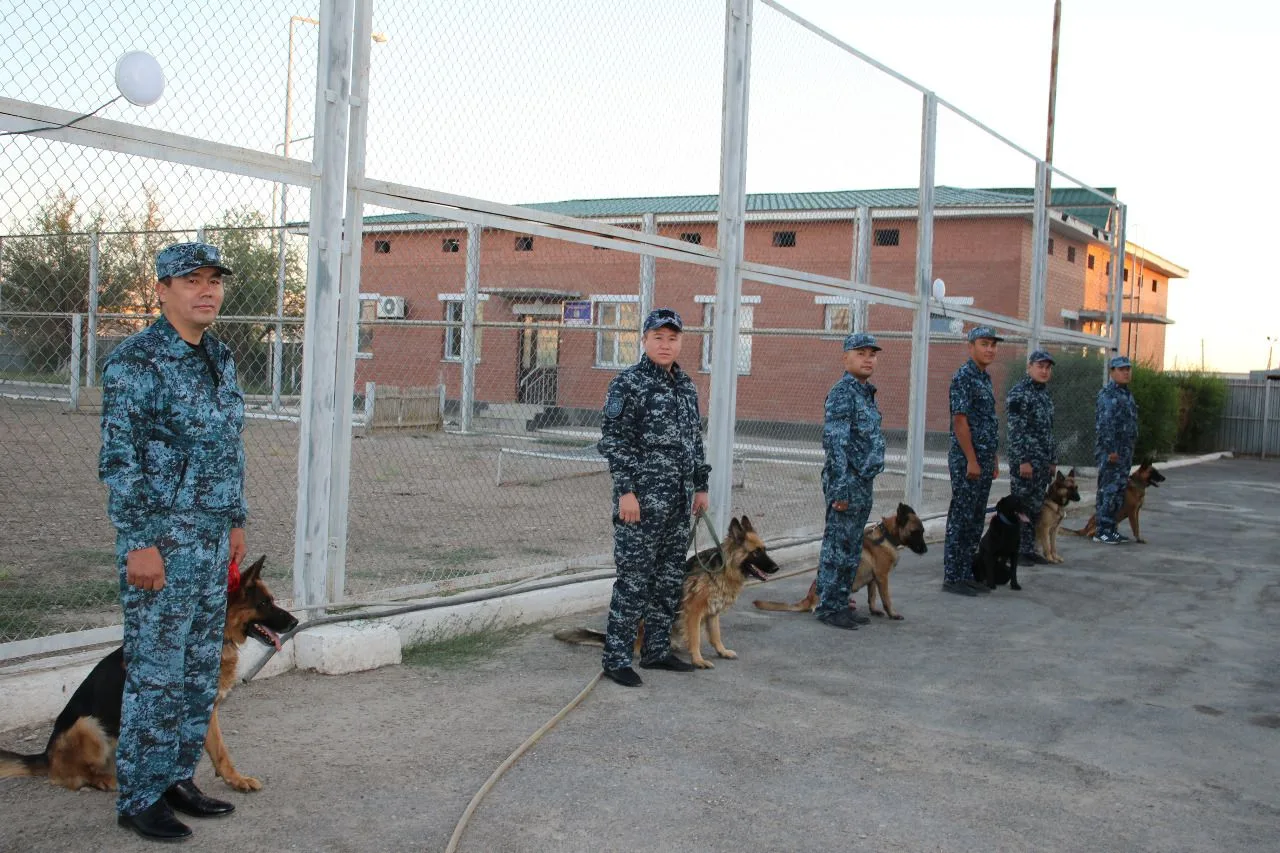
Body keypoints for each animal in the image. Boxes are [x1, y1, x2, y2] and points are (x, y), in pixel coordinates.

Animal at [1, 558, 294, 788]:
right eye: (265, 603)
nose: (296, 621)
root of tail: (46, 755)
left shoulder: (206, 711)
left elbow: (220, 750)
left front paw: (235, 780)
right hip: (89, 725)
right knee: (76, 776)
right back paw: (107, 780)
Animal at [552, 514, 773, 666]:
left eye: (764, 549)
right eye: (755, 552)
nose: (776, 568)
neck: (723, 568)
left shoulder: (712, 612)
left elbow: (715, 635)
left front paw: (722, 651)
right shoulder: (694, 611)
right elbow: (696, 638)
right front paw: (698, 660)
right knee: (638, 640)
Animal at [752, 502, 926, 622]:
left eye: (922, 531)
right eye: (915, 532)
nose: (925, 550)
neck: (886, 536)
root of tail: (808, 598)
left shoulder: (873, 580)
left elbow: (872, 597)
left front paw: (874, 610)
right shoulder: (882, 577)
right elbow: (886, 599)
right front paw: (893, 614)